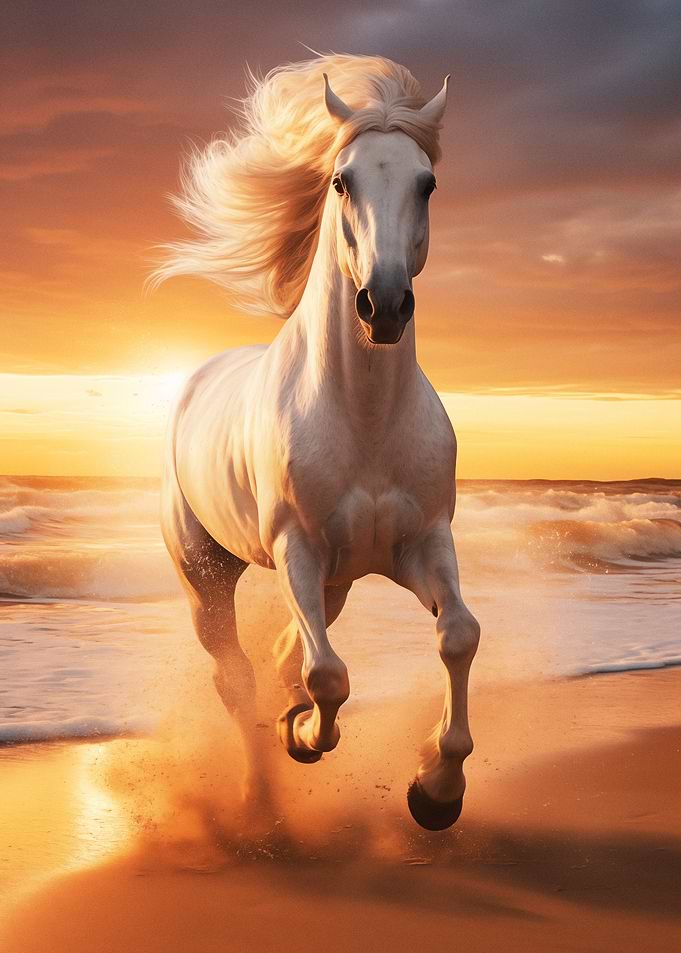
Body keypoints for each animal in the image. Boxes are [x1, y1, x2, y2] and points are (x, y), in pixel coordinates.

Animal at [154, 54, 480, 831]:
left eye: (426, 182)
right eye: (341, 180)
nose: (383, 304)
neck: (364, 418)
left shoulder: (422, 543)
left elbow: (457, 633)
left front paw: (435, 791)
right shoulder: (295, 550)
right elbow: (326, 673)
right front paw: (302, 736)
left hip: (337, 580)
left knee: (279, 655)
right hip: (207, 576)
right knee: (237, 677)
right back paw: (257, 796)